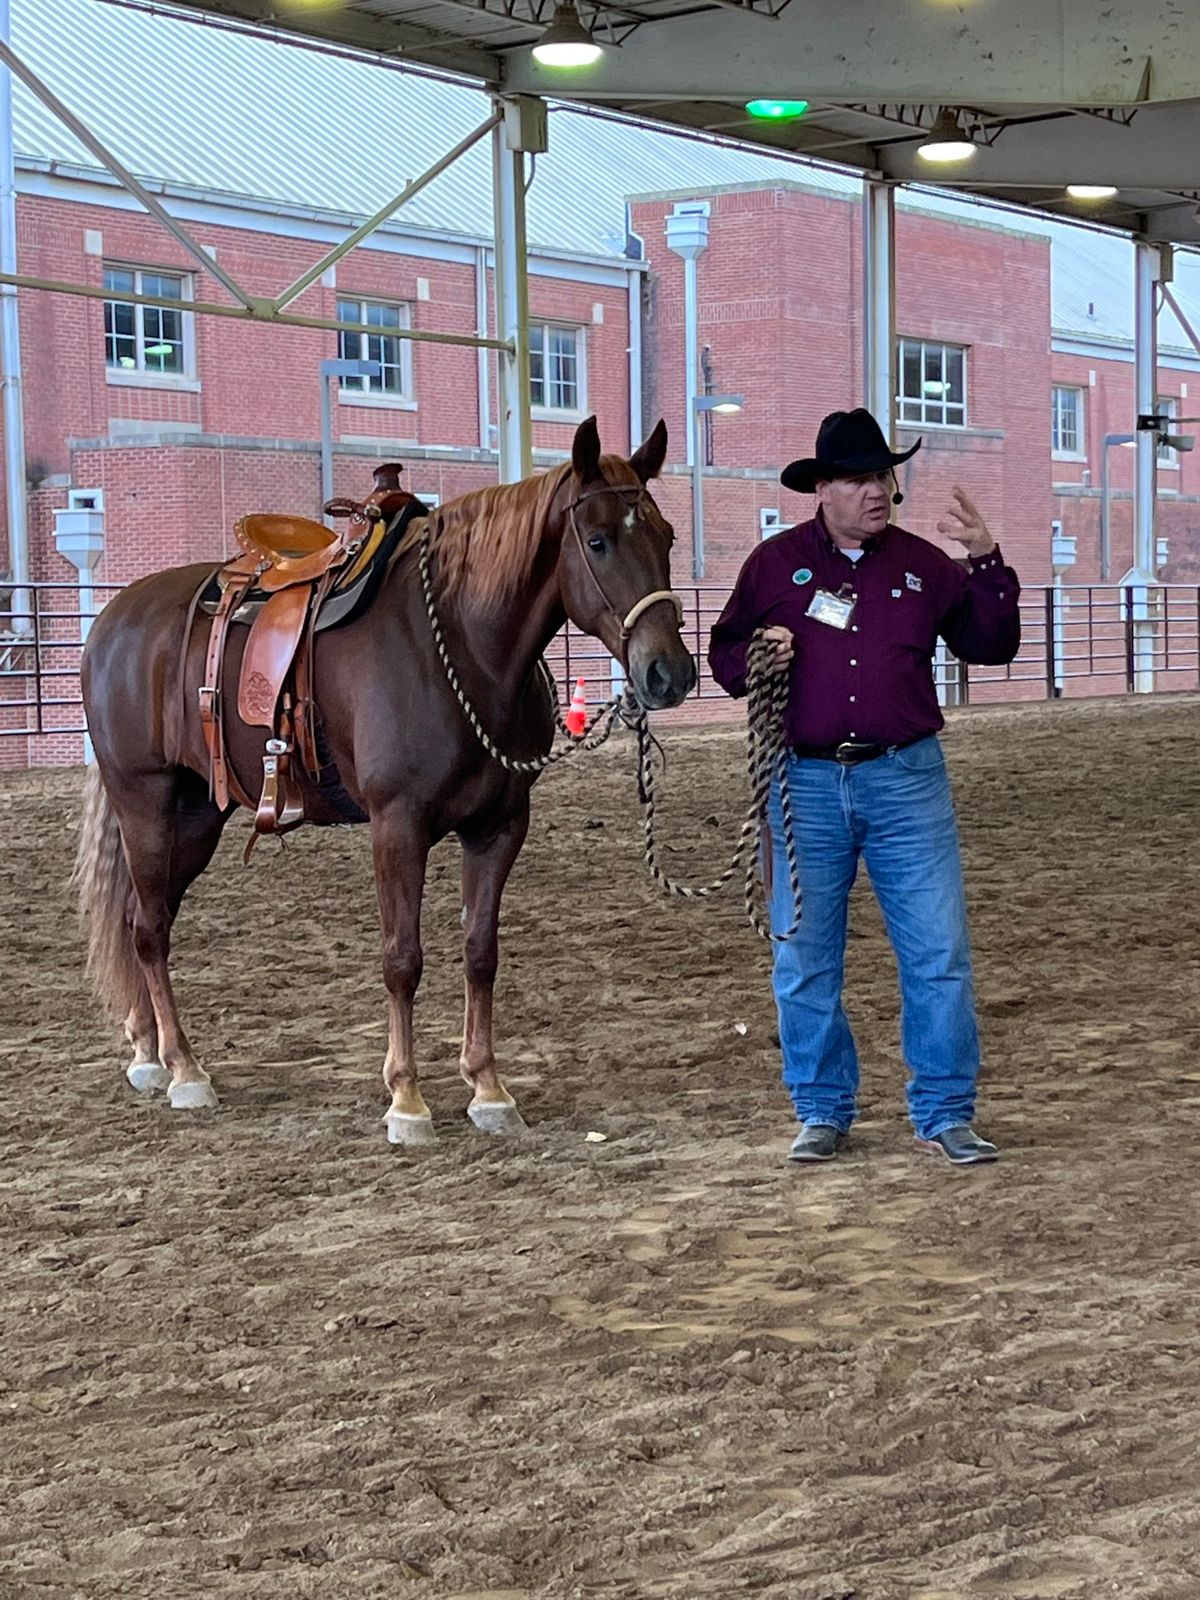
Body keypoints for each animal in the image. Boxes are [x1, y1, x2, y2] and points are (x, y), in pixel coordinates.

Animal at [75, 419, 694, 1145]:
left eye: (667, 537)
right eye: (597, 540)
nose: (669, 673)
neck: (461, 647)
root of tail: (114, 619)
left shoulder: (499, 827)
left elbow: (480, 951)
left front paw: (488, 1088)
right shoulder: (398, 825)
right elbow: (403, 959)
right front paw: (407, 1099)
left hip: (197, 817)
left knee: (141, 921)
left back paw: (147, 1052)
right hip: (145, 803)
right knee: (149, 930)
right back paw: (183, 1068)